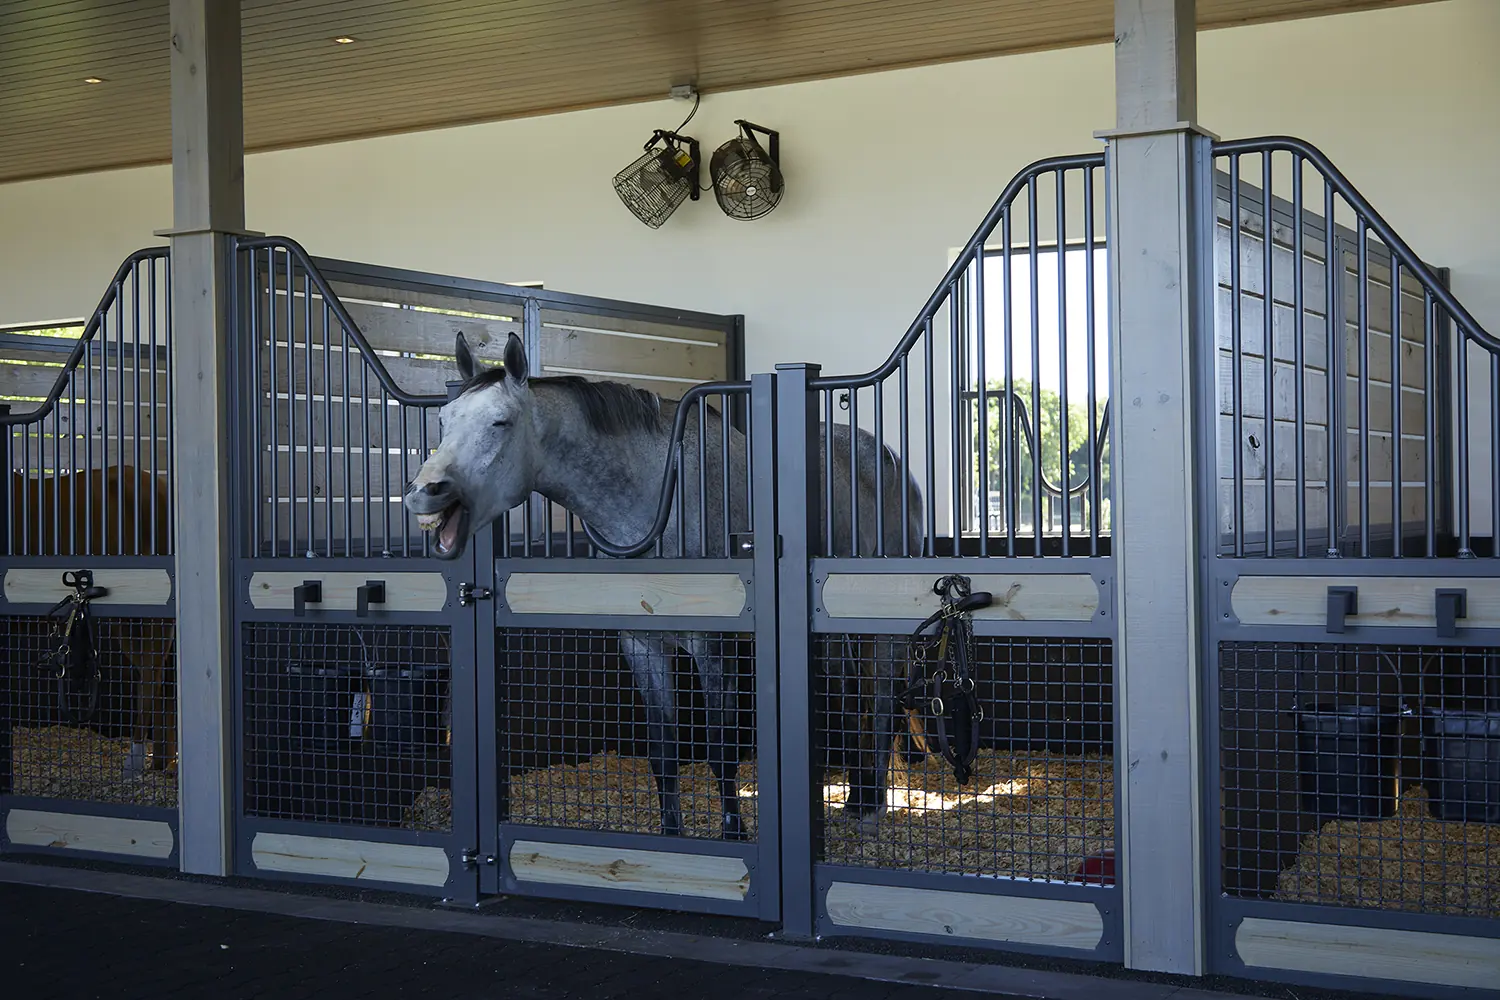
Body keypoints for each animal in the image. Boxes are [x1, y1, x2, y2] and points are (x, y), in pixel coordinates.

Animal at [404, 332, 925, 839]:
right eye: (444, 419)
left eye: (501, 422)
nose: (424, 492)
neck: (654, 494)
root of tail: (888, 460)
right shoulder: (642, 644)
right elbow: (664, 751)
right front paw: (672, 834)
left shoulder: (711, 644)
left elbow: (720, 748)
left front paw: (734, 833)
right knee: (849, 695)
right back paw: (856, 798)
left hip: (883, 626)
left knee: (881, 699)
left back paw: (872, 807)